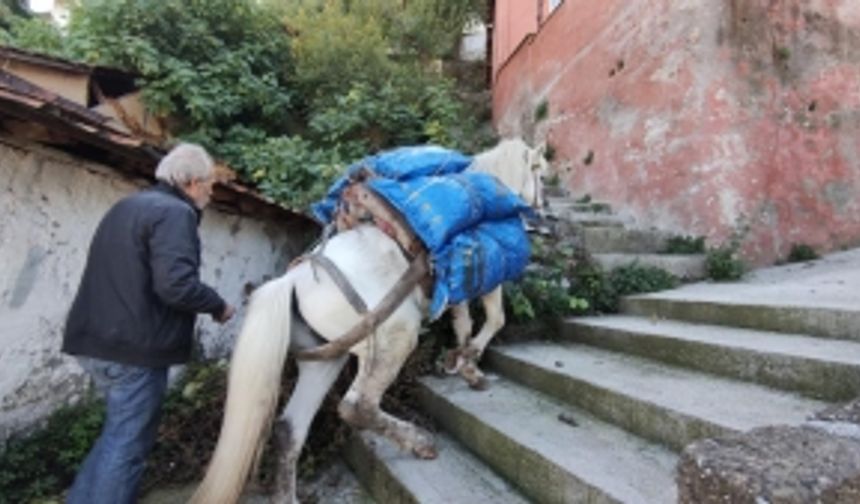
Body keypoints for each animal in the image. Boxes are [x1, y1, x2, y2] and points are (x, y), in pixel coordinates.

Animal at [191, 138, 548, 504]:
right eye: (541, 174)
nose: (545, 213)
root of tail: (294, 280)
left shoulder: (455, 288)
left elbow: (462, 324)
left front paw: (462, 365)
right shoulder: (486, 281)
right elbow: (494, 319)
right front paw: (471, 364)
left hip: (326, 359)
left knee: (290, 428)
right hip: (392, 340)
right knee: (357, 406)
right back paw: (419, 441)